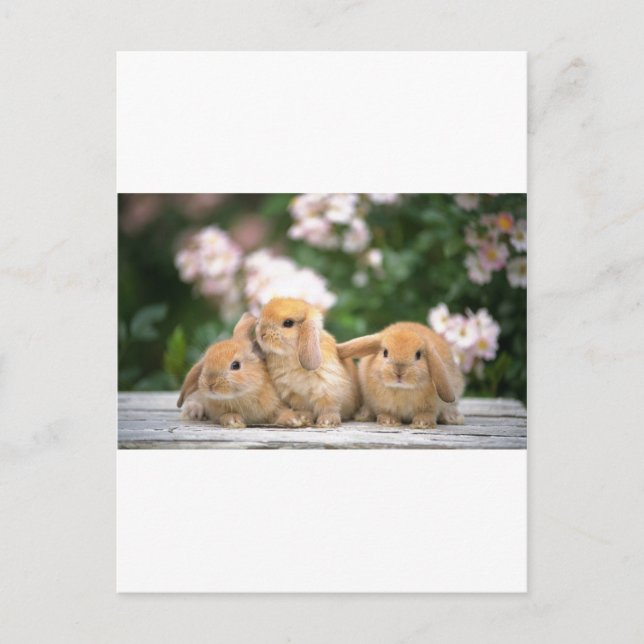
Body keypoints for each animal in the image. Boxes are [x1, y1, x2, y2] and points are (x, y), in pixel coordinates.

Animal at [177, 312, 311, 428]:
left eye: (235, 365)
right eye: (205, 364)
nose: (210, 383)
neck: (244, 396)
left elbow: (281, 413)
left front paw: (294, 419)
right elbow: (224, 416)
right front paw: (233, 420)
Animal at [255, 297, 360, 427]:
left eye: (288, 323)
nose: (261, 334)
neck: (292, 357)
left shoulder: (328, 390)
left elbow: (329, 407)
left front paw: (327, 421)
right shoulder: (295, 396)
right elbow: (304, 409)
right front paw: (303, 419)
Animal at [337, 322, 465, 429]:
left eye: (418, 355)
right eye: (385, 352)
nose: (399, 372)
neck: (402, 389)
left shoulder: (432, 406)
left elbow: (427, 413)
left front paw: (422, 423)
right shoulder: (380, 404)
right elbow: (385, 412)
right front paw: (389, 421)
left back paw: (453, 418)